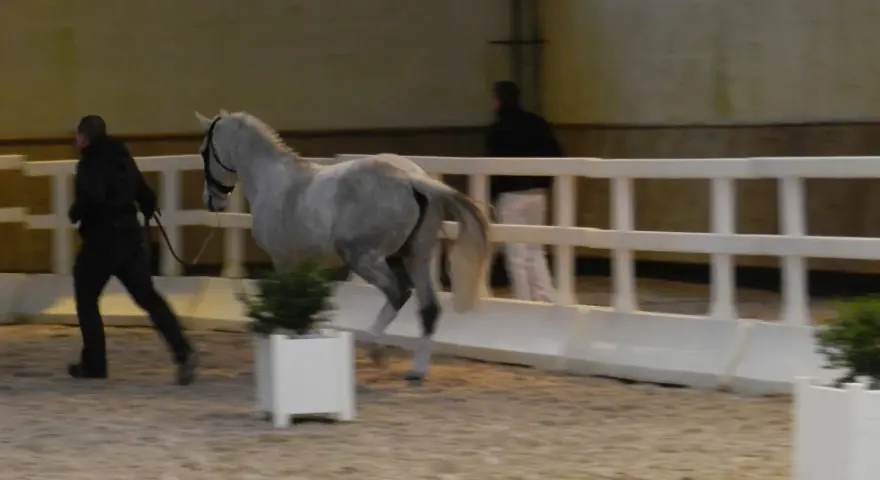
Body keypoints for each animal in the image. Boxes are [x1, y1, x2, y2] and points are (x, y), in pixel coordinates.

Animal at [194, 110, 491, 384]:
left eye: (203, 151)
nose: (211, 200)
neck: (275, 182)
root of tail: (411, 178)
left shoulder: (283, 260)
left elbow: (290, 307)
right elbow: (308, 307)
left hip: (364, 258)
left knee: (399, 293)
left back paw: (376, 350)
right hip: (416, 256)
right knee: (429, 309)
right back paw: (416, 371)